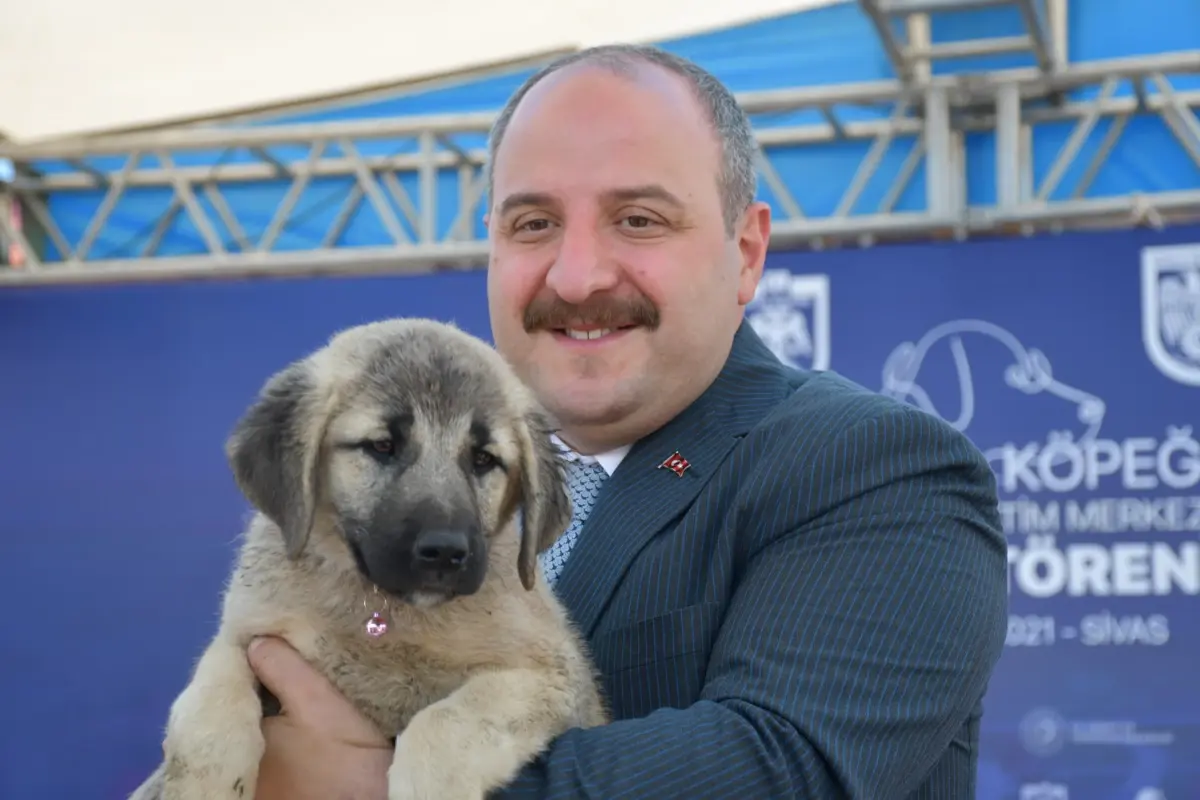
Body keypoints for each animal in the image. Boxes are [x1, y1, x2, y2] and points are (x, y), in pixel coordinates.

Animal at [131, 316, 609, 800]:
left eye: (483, 459)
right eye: (381, 446)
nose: (445, 551)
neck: (379, 611)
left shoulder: (553, 677)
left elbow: (444, 722)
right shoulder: (249, 634)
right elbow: (208, 701)